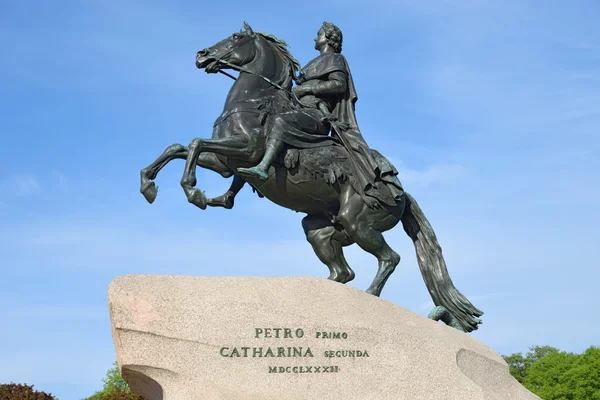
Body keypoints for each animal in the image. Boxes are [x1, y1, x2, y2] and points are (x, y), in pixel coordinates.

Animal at [139, 23, 482, 332]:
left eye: (235, 37)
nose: (201, 55)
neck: (252, 102)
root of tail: (403, 194)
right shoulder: (225, 163)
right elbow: (179, 148)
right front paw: (149, 184)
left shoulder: (245, 150)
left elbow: (196, 144)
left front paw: (193, 192)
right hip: (321, 229)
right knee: (343, 272)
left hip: (358, 223)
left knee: (390, 258)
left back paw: (370, 295)